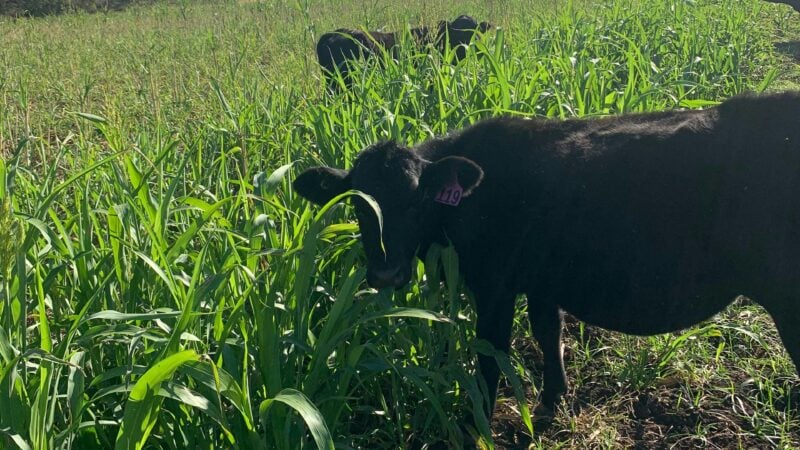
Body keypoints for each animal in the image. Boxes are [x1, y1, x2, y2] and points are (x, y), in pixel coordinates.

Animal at [293, 92, 800, 432]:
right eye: (359, 206)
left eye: (419, 202)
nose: (385, 273)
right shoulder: (542, 281)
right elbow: (548, 334)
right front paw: (552, 402)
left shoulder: (495, 287)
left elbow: (491, 356)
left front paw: (478, 424)